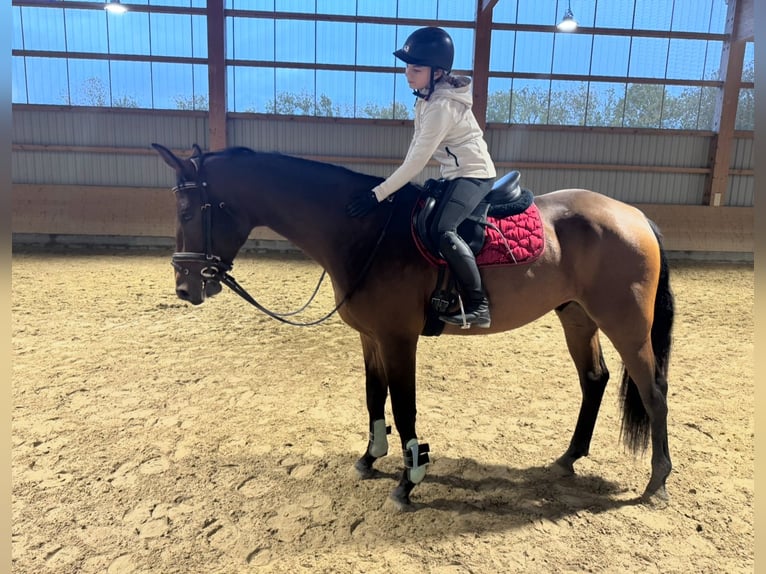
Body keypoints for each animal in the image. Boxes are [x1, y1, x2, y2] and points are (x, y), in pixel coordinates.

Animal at [152, 143, 674, 510]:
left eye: (187, 211)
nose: (185, 288)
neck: (363, 232)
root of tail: (634, 215)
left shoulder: (398, 339)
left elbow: (404, 408)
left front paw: (408, 481)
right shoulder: (370, 338)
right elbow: (373, 397)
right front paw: (370, 458)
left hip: (625, 324)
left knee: (653, 391)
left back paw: (657, 481)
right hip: (577, 316)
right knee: (594, 380)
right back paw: (569, 458)